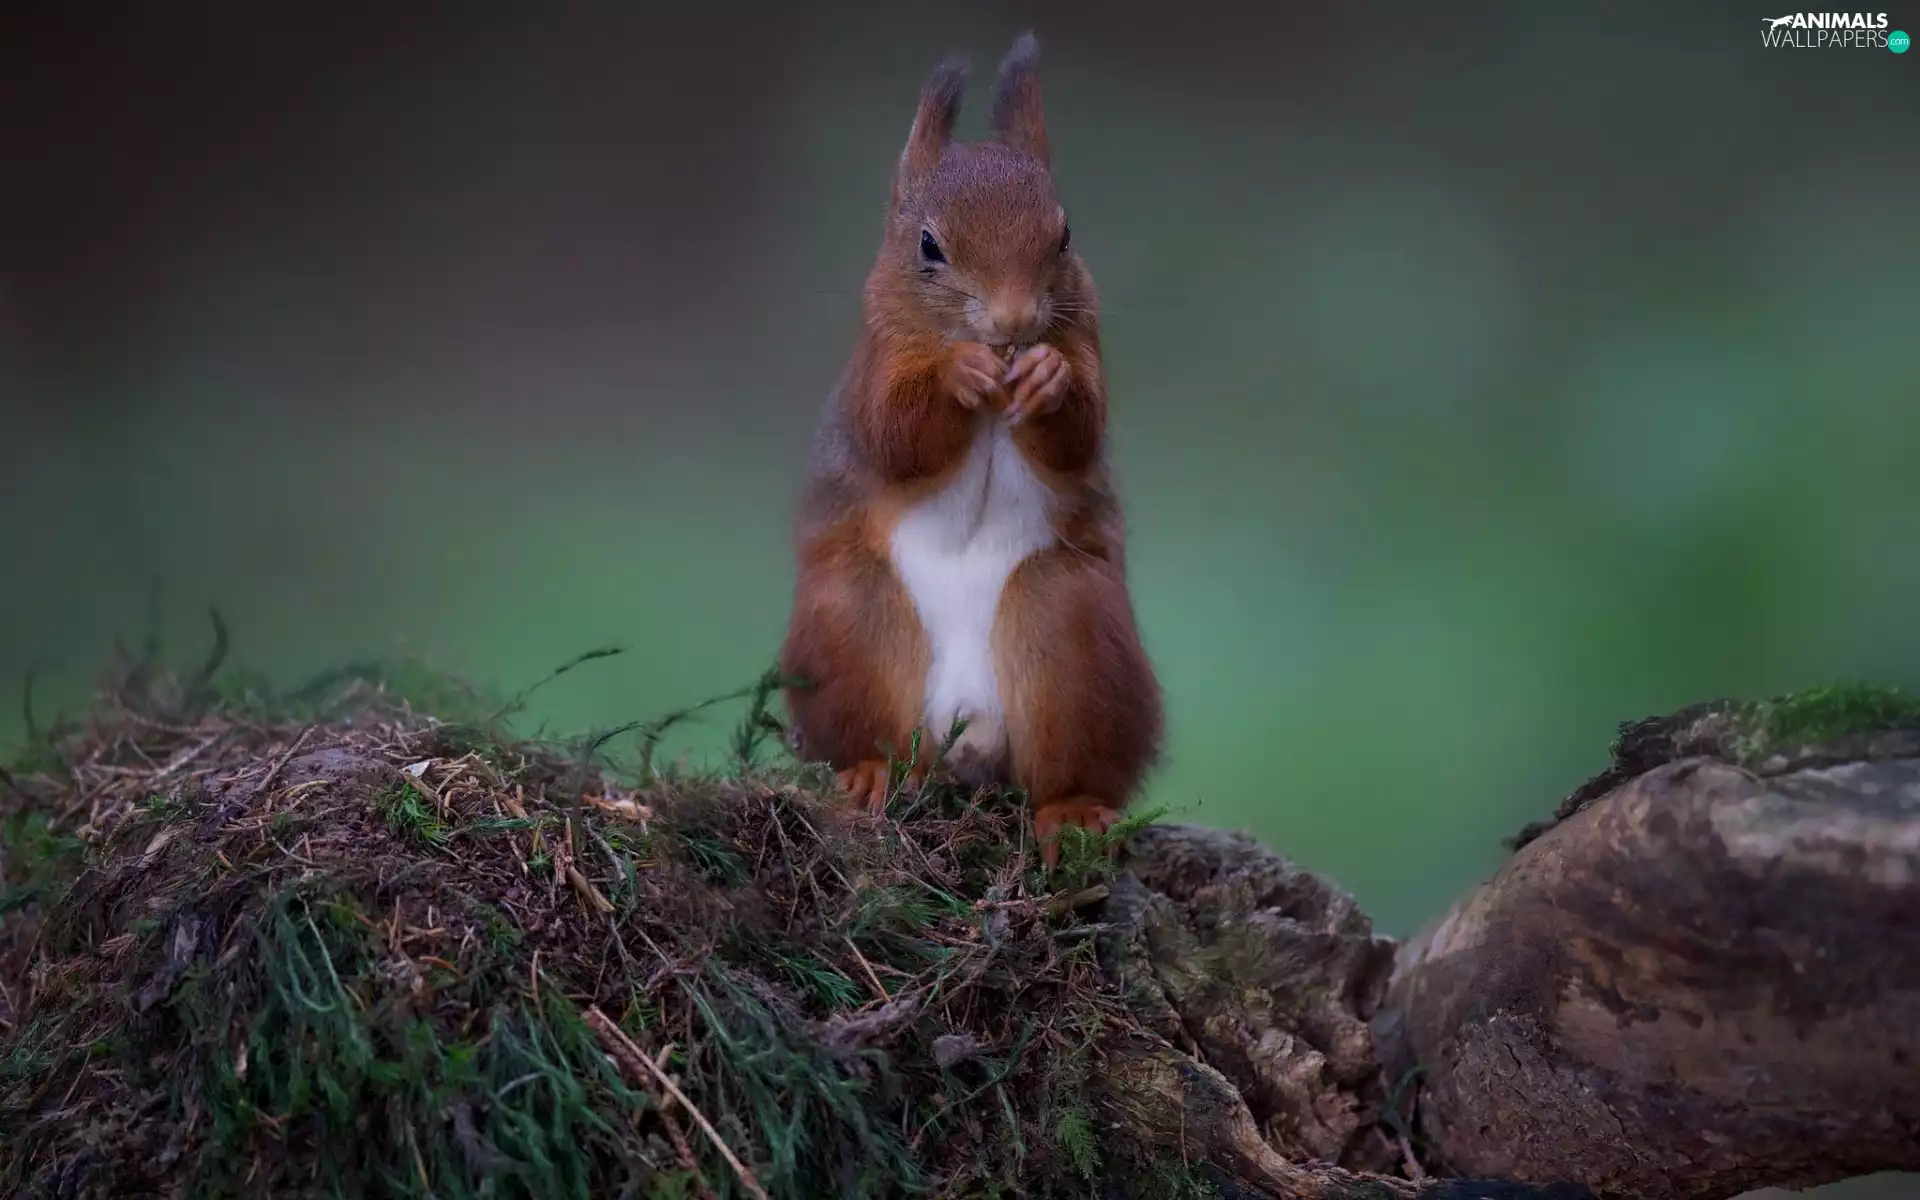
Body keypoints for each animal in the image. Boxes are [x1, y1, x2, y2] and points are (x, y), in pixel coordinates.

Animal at [777, 31, 1164, 865]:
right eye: (928, 245)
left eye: (1065, 234)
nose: (1014, 321)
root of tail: (967, 735)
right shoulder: (877, 363)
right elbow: (896, 437)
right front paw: (960, 374)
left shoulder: (1088, 346)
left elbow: (1077, 438)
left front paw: (1047, 378)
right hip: (851, 621)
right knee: (873, 732)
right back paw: (867, 774)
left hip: (1070, 631)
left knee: (1066, 763)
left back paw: (1071, 810)